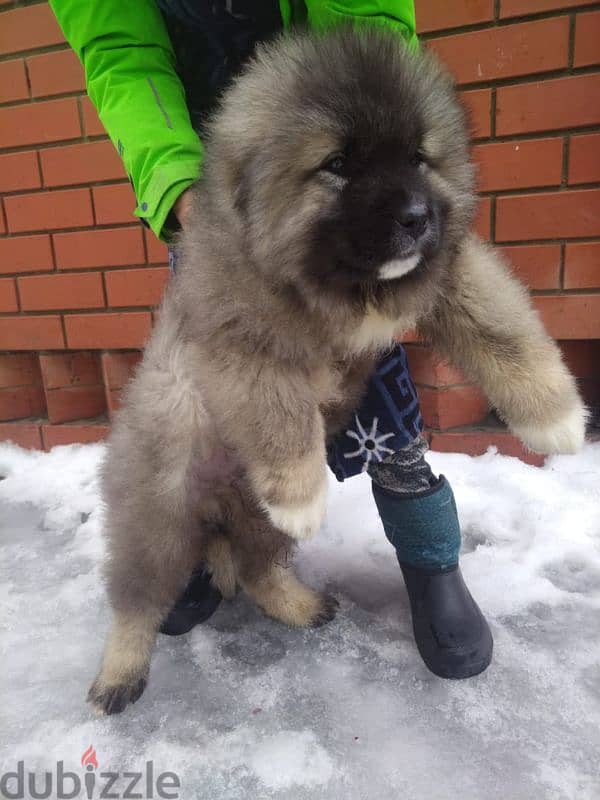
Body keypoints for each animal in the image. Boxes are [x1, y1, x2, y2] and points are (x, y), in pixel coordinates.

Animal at [89, 28, 584, 716]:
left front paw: (558, 420)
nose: (417, 217)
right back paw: (119, 673)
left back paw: (301, 606)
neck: (345, 287)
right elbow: (279, 413)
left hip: (248, 517)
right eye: (339, 164)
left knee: (259, 568)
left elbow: (503, 331)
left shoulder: (452, 270)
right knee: (137, 601)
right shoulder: (242, 340)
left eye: (418, 159)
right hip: (159, 517)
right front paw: (300, 497)